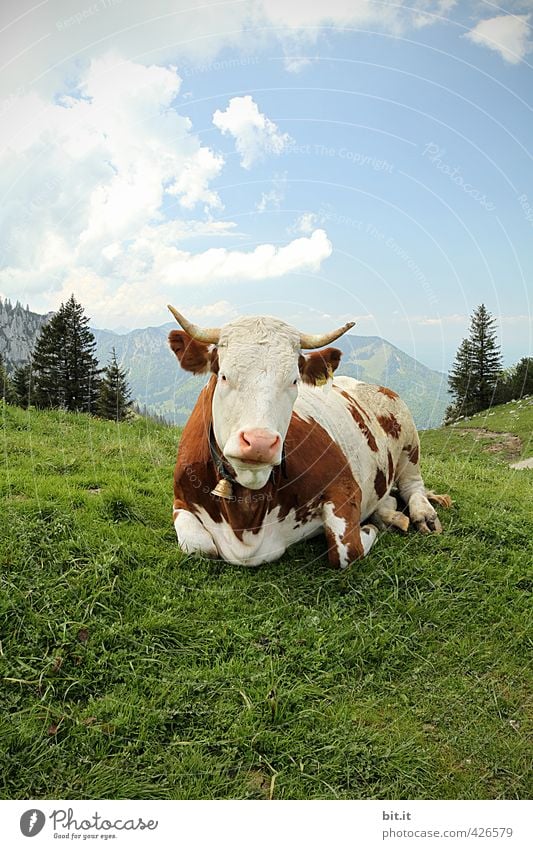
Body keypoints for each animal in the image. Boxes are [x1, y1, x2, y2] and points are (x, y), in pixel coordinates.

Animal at [167, 306, 448, 568]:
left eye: (293, 381)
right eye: (224, 376)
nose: (259, 443)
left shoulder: (345, 486)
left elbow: (346, 551)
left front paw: (368, 528)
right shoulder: (180, 499)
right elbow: (199, 546)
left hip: (409, 440)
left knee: (413, 485)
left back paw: (422, 514)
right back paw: (388, 514)